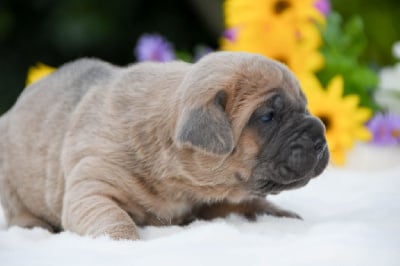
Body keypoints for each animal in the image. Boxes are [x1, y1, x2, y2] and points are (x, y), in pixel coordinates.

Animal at [0, 51, 328, 239]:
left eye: (304, 106)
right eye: (267, 116)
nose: (320, 138)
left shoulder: (218, 197)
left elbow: (251, 203)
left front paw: (281, 215)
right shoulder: (92, 187)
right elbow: (113, 219)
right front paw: (124, 243)